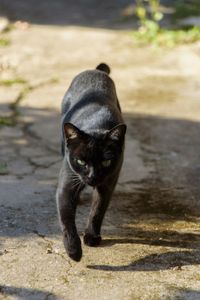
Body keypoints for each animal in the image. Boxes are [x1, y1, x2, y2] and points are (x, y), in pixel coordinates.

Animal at [55, 62, 126, 260]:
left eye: (106, 162)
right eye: (80, 161)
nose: (93, 177)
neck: (97, 125)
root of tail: (95, 71)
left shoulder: (108, 183)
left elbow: (97, 210)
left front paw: (92, 236)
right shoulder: (67, 185)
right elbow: (67, 221)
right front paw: (74, 251)